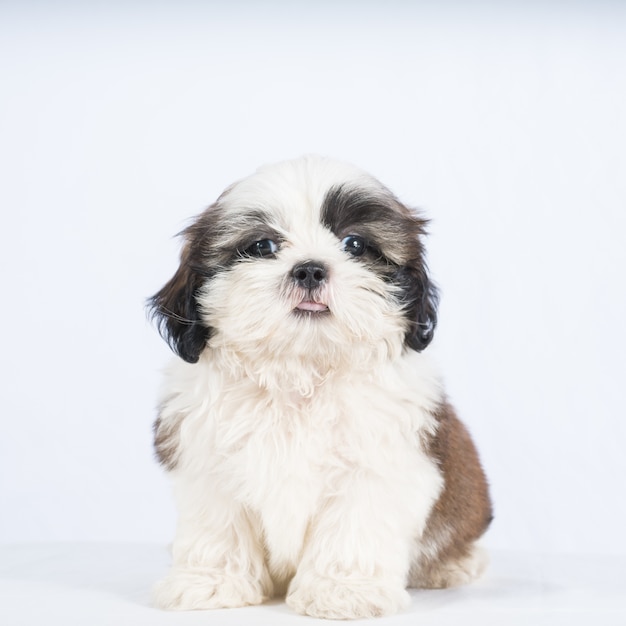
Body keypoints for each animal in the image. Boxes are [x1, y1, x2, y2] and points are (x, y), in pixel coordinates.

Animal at [149, 155, 490, 616]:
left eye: (355, 245)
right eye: (262, 246)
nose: (310, 269)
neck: (302, 370)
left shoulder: (376, 465)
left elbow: (352, 527)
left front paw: (344, 589)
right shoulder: (206, 460)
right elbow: (218, 526)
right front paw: (211, 582)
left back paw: (452, 565)